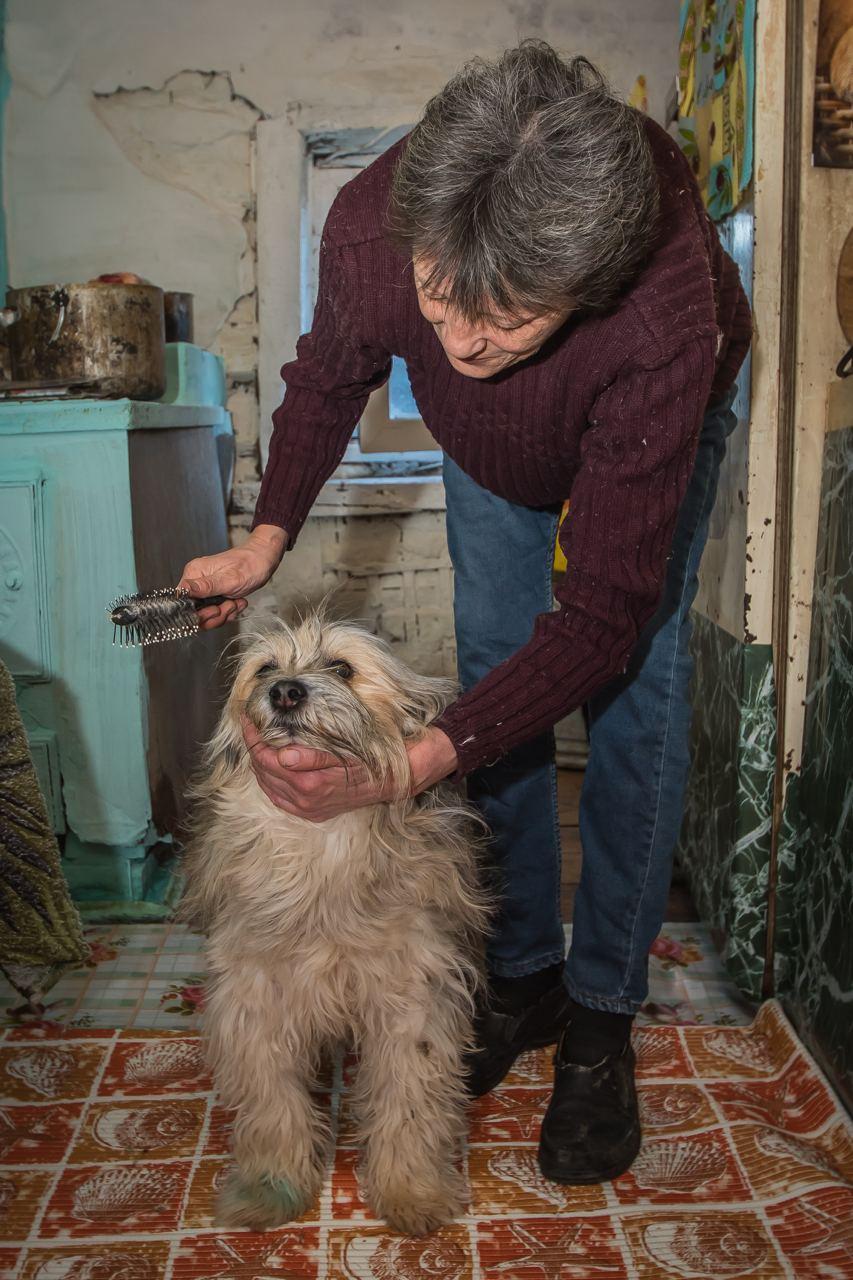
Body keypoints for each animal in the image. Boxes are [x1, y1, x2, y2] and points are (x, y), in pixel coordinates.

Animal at [179, 614, 484, 1233]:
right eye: (265, 669)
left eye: (342, 668)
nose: (286, 692)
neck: (319, 848)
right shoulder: (255, 1000)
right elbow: (273, 1103)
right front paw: (271, 1188)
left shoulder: (413, 1000)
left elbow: (409, 1101)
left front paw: (411, 1191)